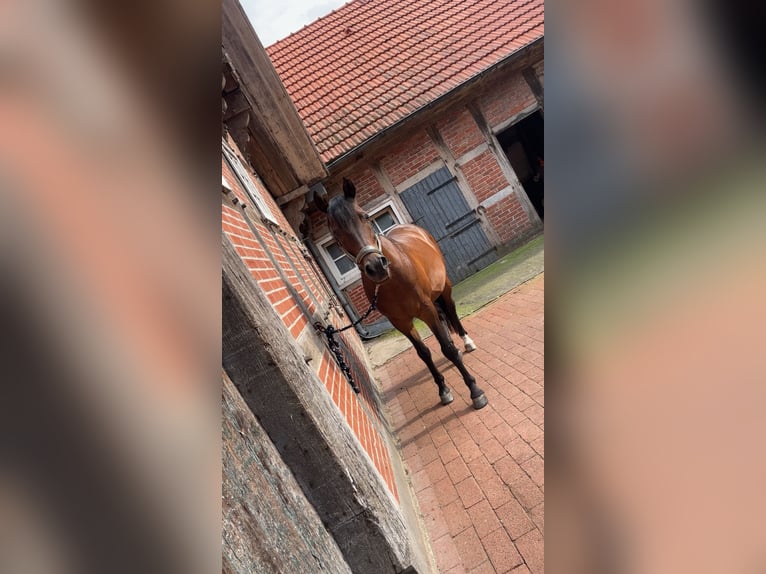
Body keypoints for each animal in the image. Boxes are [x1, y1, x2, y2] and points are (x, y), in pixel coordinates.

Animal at [315, 178, 488, 410]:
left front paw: (475, 391)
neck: (394, 279)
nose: (376, 267)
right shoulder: (400, 322)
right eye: (334, 234)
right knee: (443, 318)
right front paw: (443, 390)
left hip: (444, 288)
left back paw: (467, 342)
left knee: (451, 311)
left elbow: (447, 348)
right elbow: (424, 353)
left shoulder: (426, 309)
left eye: (365, 216)